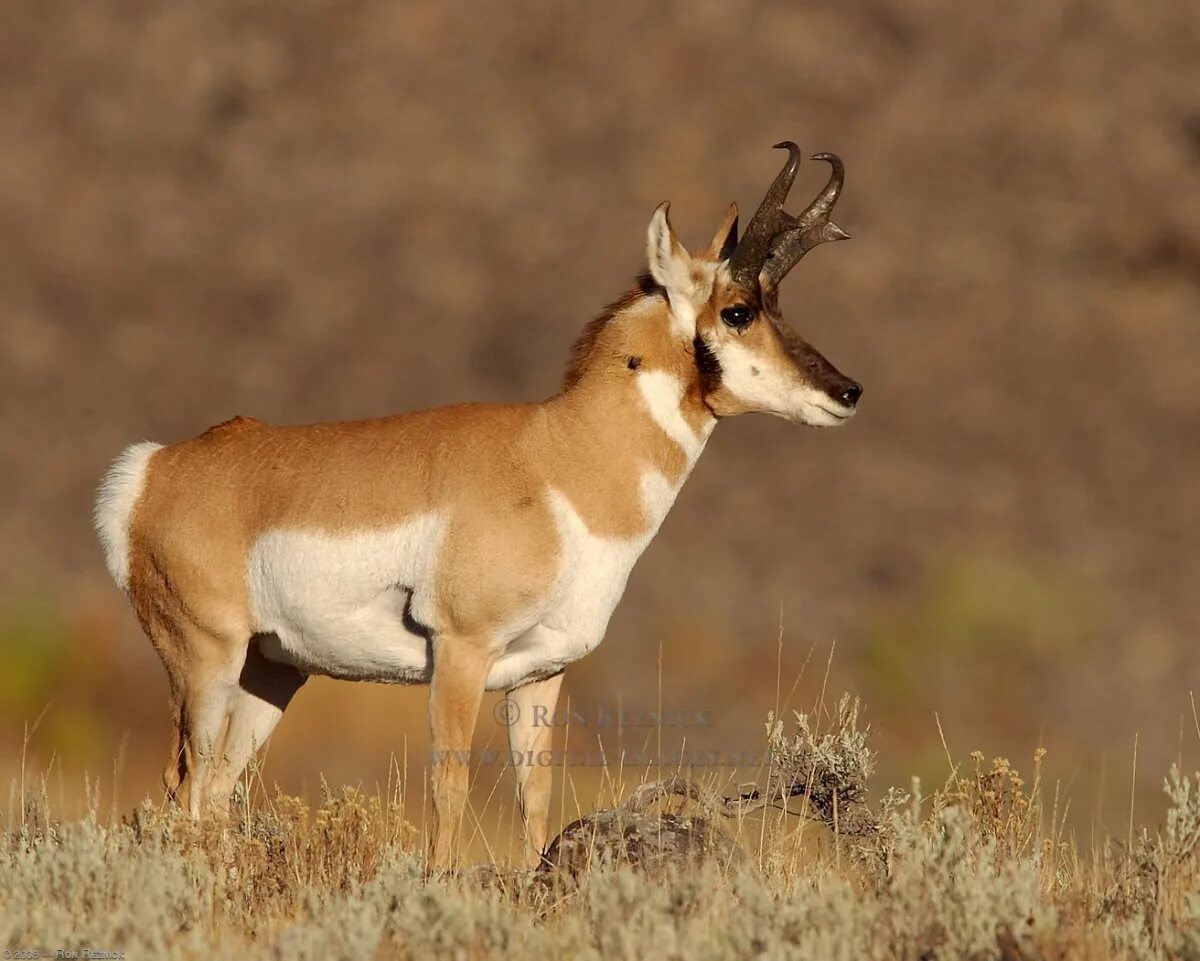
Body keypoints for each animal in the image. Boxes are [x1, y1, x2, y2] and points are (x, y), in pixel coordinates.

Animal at [96, 142, 864, 868]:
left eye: (777, 307)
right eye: (737, 311)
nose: (849, 391)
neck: (555, 458)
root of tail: (154, 469)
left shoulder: (542, 673)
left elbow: (535, 795)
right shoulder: (460, 654)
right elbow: (450, 785)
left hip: (273, 671)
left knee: (216, 791)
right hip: (206, 661)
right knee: (186, 789)